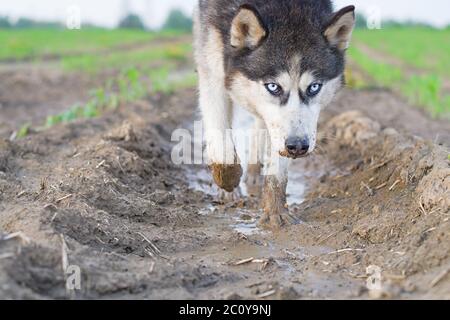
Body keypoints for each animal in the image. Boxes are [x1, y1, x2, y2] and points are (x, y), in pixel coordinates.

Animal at [193, 1, 356, 229]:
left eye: (314, 87)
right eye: (273, 86)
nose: (298, 146)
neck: (286, 7)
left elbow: (277, 168)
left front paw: (275, 211)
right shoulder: (212, 68)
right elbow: (221, 140)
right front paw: (228, 181)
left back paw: (254, 172)